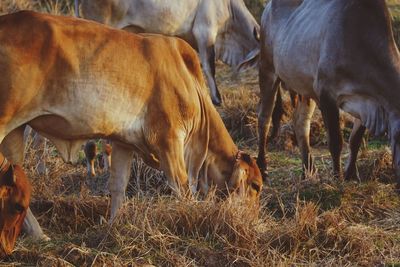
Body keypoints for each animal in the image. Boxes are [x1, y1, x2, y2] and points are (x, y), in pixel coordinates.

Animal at [0, 10, 262, 241]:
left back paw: (37, 234)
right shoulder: (169, 140)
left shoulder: (123, 142)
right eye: (256, 185)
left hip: (15, 132)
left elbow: (118, 185)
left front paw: (113, 225)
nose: (252, 222)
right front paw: (191, 219)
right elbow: (182, 186)